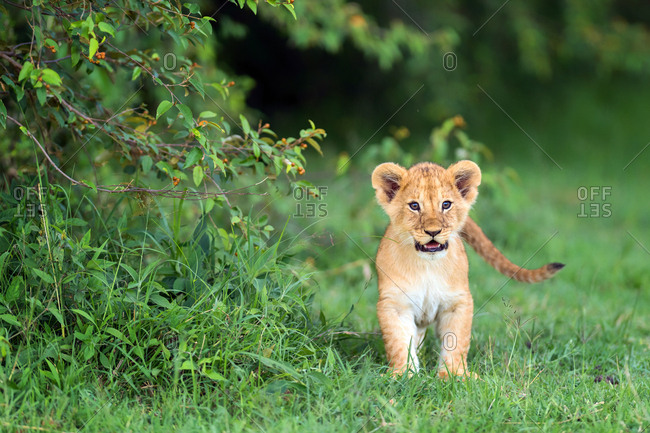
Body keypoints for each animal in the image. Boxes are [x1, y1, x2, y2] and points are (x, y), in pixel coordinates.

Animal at [371, 160, 564, 379]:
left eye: (446, 204)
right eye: (414, 206)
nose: (433, 231)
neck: (428, 265)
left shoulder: (458, 301)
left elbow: (457, 340)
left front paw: (455, 375)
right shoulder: (394, 304)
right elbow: (398, 343)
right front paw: (402, 375)